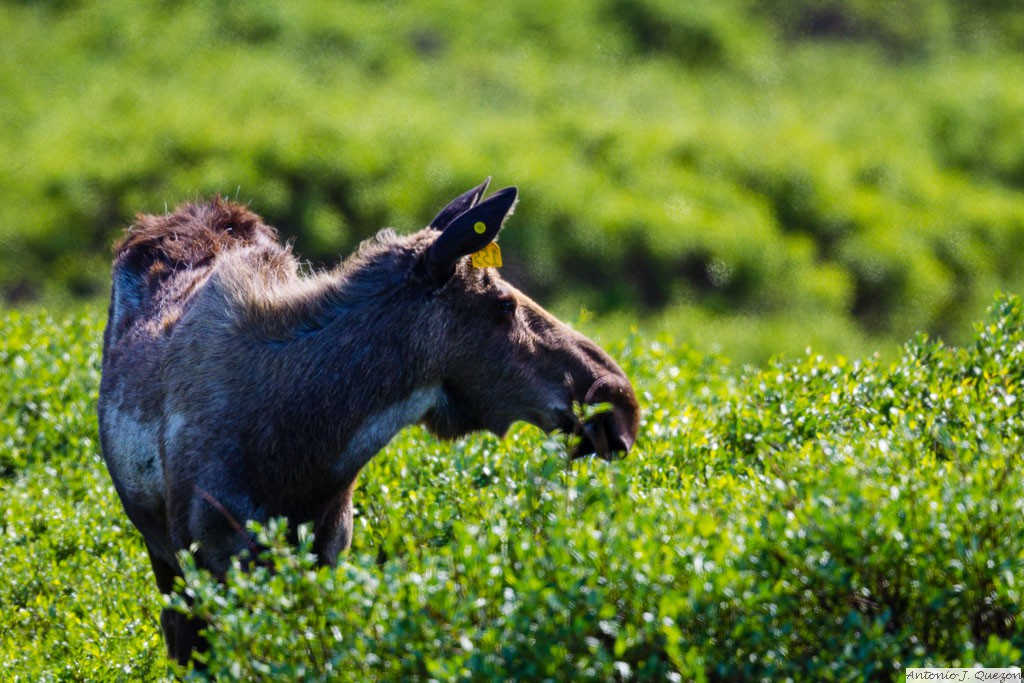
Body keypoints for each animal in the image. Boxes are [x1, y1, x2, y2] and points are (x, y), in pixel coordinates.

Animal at [97, 179, 638, 663]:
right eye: (503, 304)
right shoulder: (210, 563)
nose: (619, 401)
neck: (307, 451)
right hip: (164, 558)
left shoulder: (327, 552)